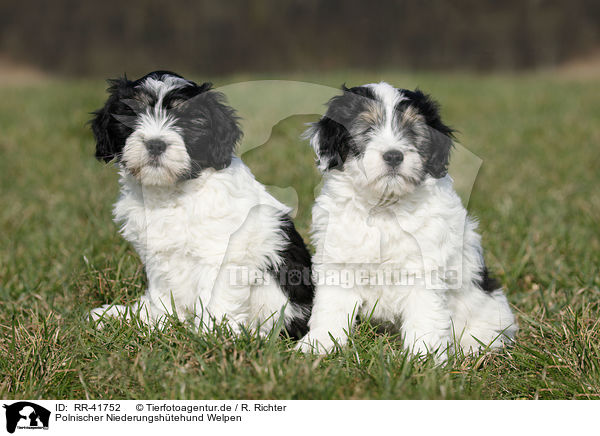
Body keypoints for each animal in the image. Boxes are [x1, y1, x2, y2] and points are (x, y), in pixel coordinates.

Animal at [89, 70, 316, 338]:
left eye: (188, 121)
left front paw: (210, 336)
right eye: (131, 114)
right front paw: (157, 322)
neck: (173, 193)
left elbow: (214, 299)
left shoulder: (222, 254)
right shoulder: (157, 255)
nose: (155, 143)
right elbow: (163, 294)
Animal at [298, 82, 516, 358]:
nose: (393, 156)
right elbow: (331, 306)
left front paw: (423, 357)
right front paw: (319, 344)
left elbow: (425, 315)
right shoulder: (338, 260)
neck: (384, 209)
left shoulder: (424, 269)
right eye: (367, 129)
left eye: (412, 131)